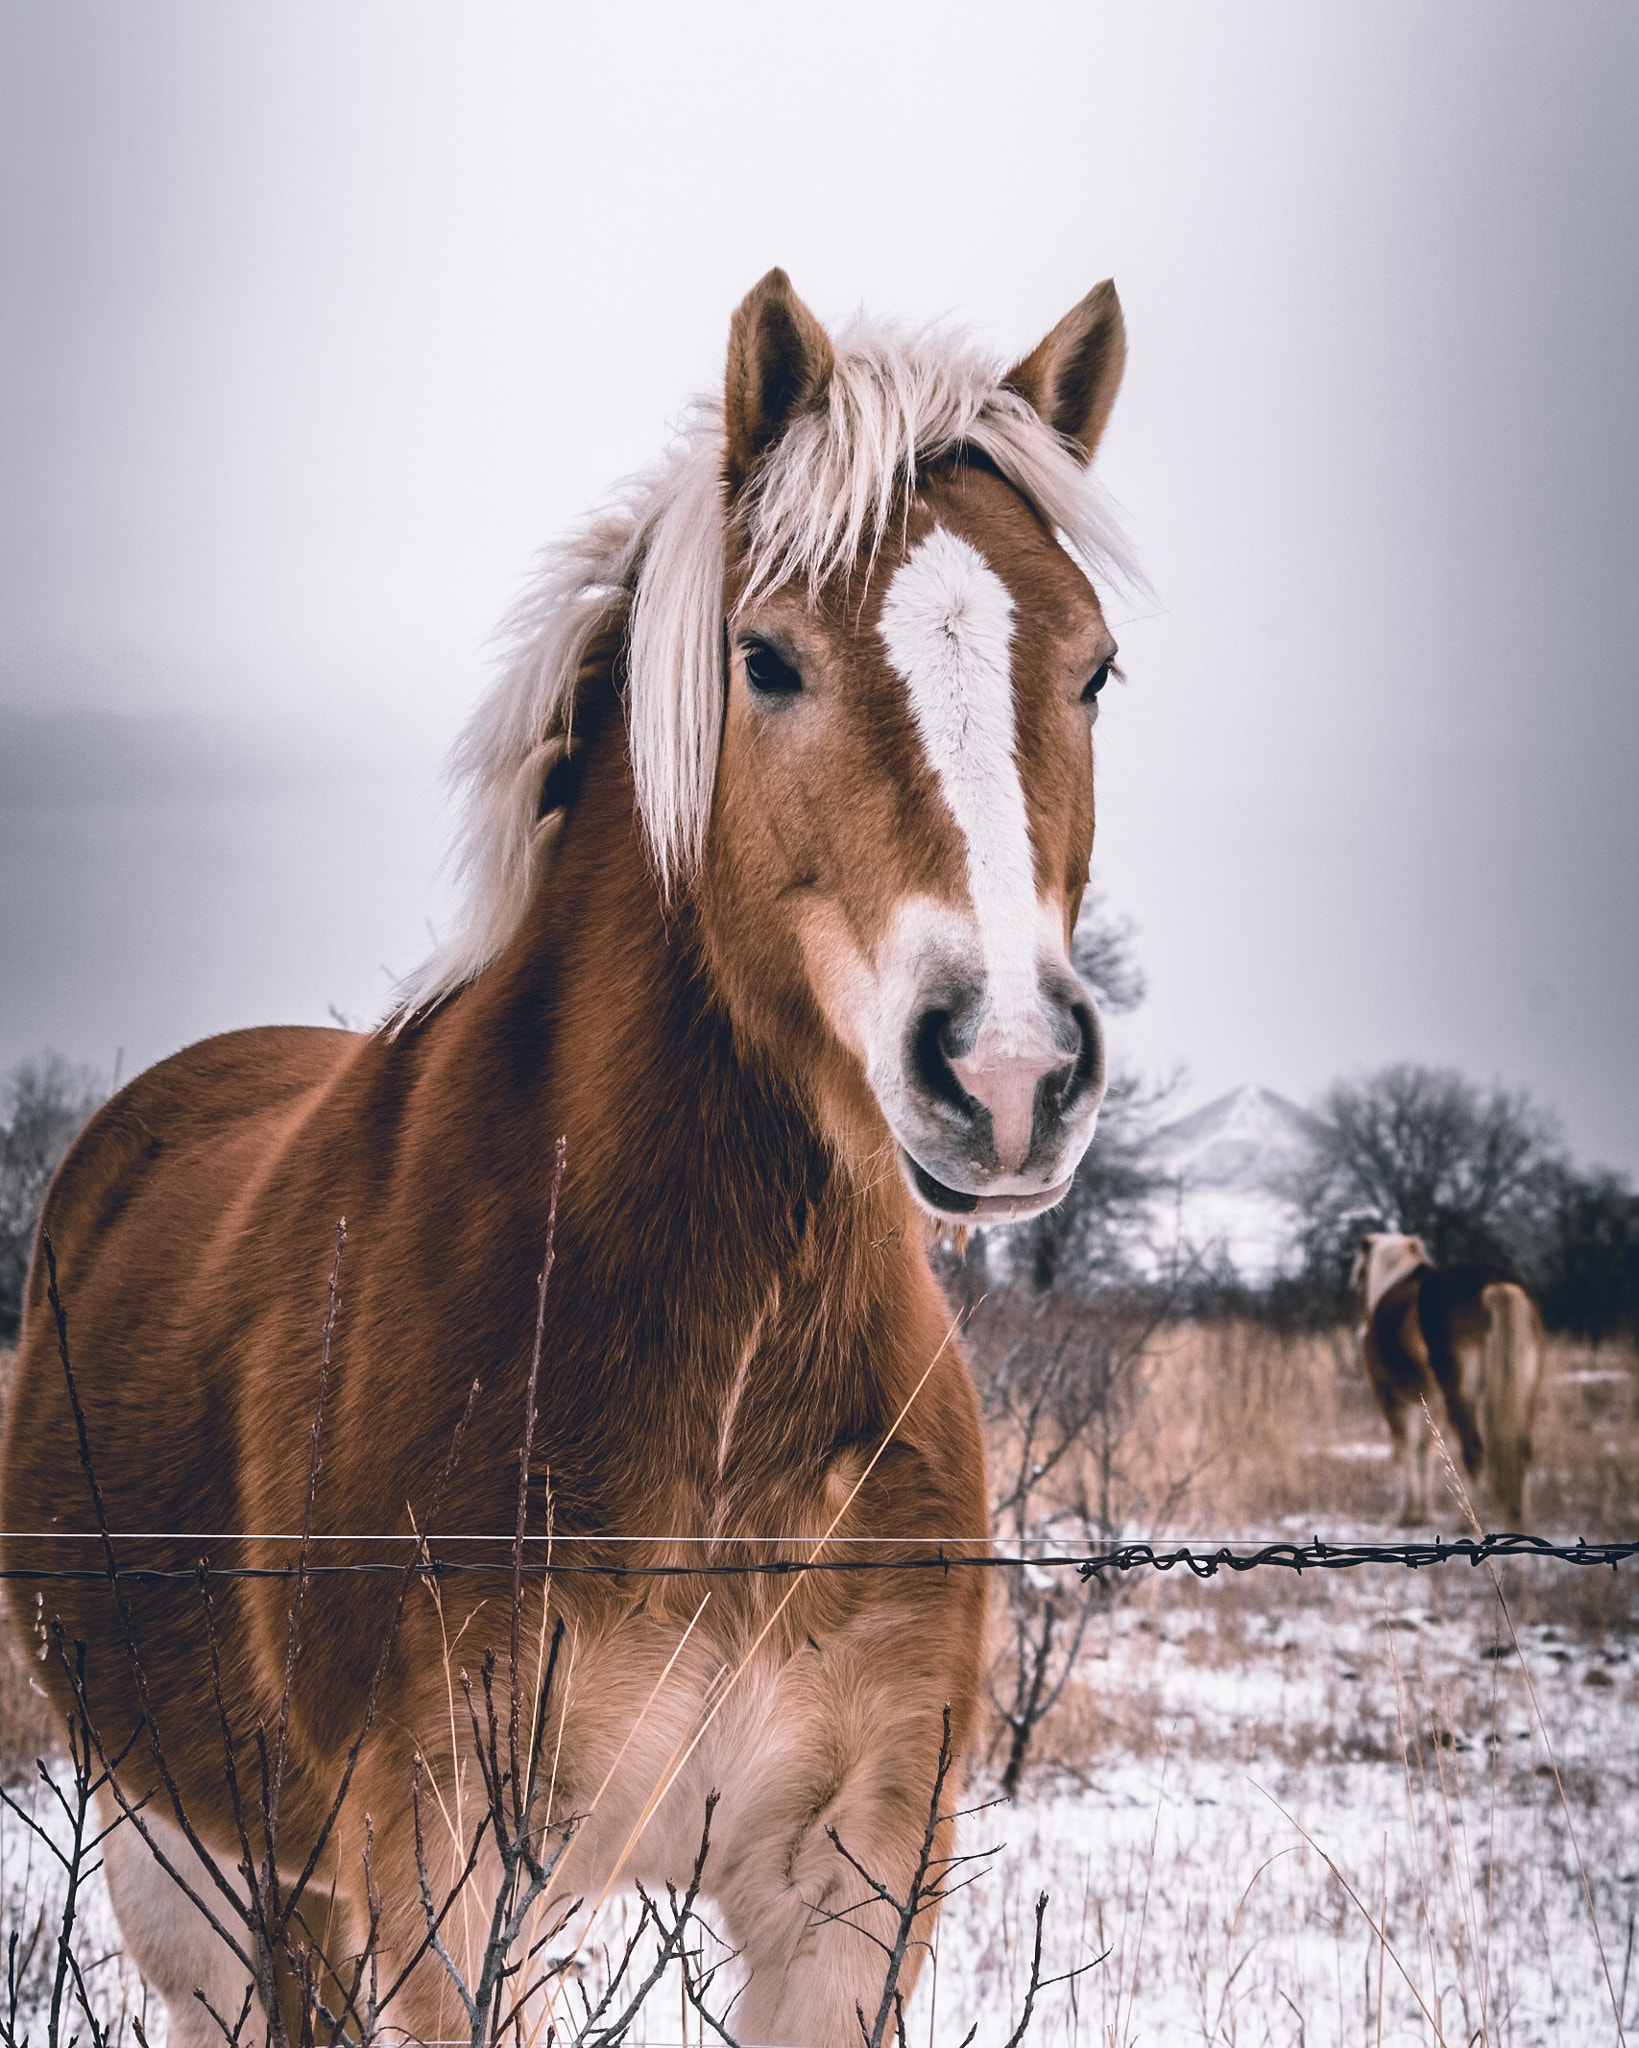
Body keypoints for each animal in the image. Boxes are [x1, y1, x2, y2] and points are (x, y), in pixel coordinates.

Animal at [0, 272, 1130, 2048]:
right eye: (766, 659)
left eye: (1093, 670)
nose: (1007, 1071)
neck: (719, 1392)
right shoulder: (450, 1876)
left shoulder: (857, 1880)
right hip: (176, 1861)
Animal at [1352, 1220, 1540, 1531]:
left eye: (1359, 1275)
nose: (1360, 1329)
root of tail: (1494, 1283)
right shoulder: (1432, 1401)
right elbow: (1426, 1451)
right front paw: (1422, 1514)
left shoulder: (1389, 1397)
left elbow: (1403, 1450)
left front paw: (1403, 1514)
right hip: (1524, 1387)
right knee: (1522, 1448)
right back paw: (1522, 1521)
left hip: (1459, 1392)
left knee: (1474, 1450)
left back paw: (1470, 1523)